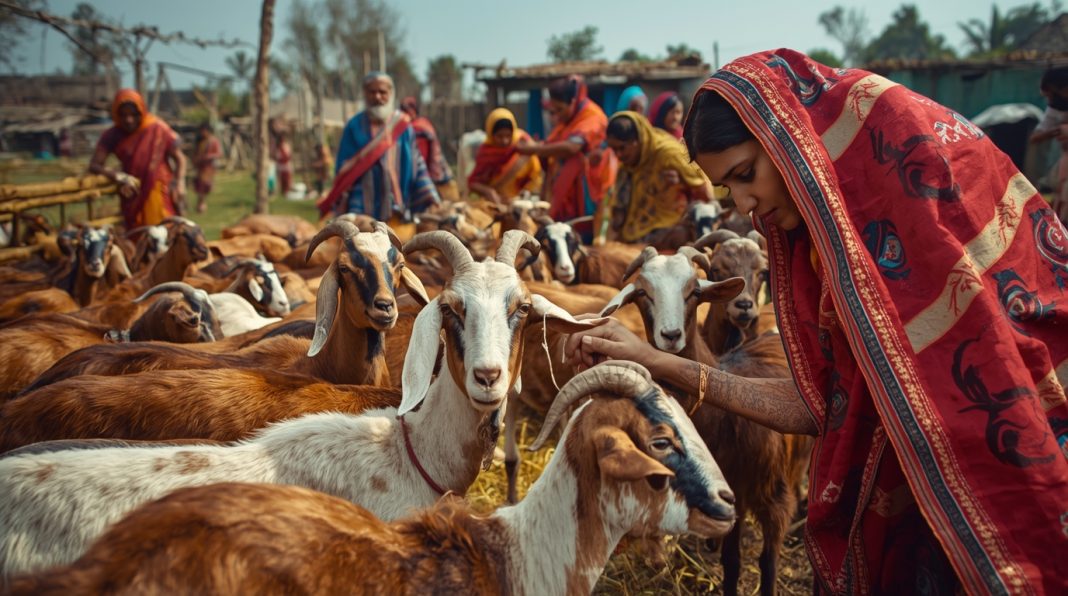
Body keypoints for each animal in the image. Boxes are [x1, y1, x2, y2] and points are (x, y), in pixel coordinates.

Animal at [602, 246, 811, 596]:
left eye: (694, 292)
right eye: (643, 292)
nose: (671, 335)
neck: (724, 422)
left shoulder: (775, 498)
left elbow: (768, 562)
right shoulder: (731, 491)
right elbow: (731, 561)